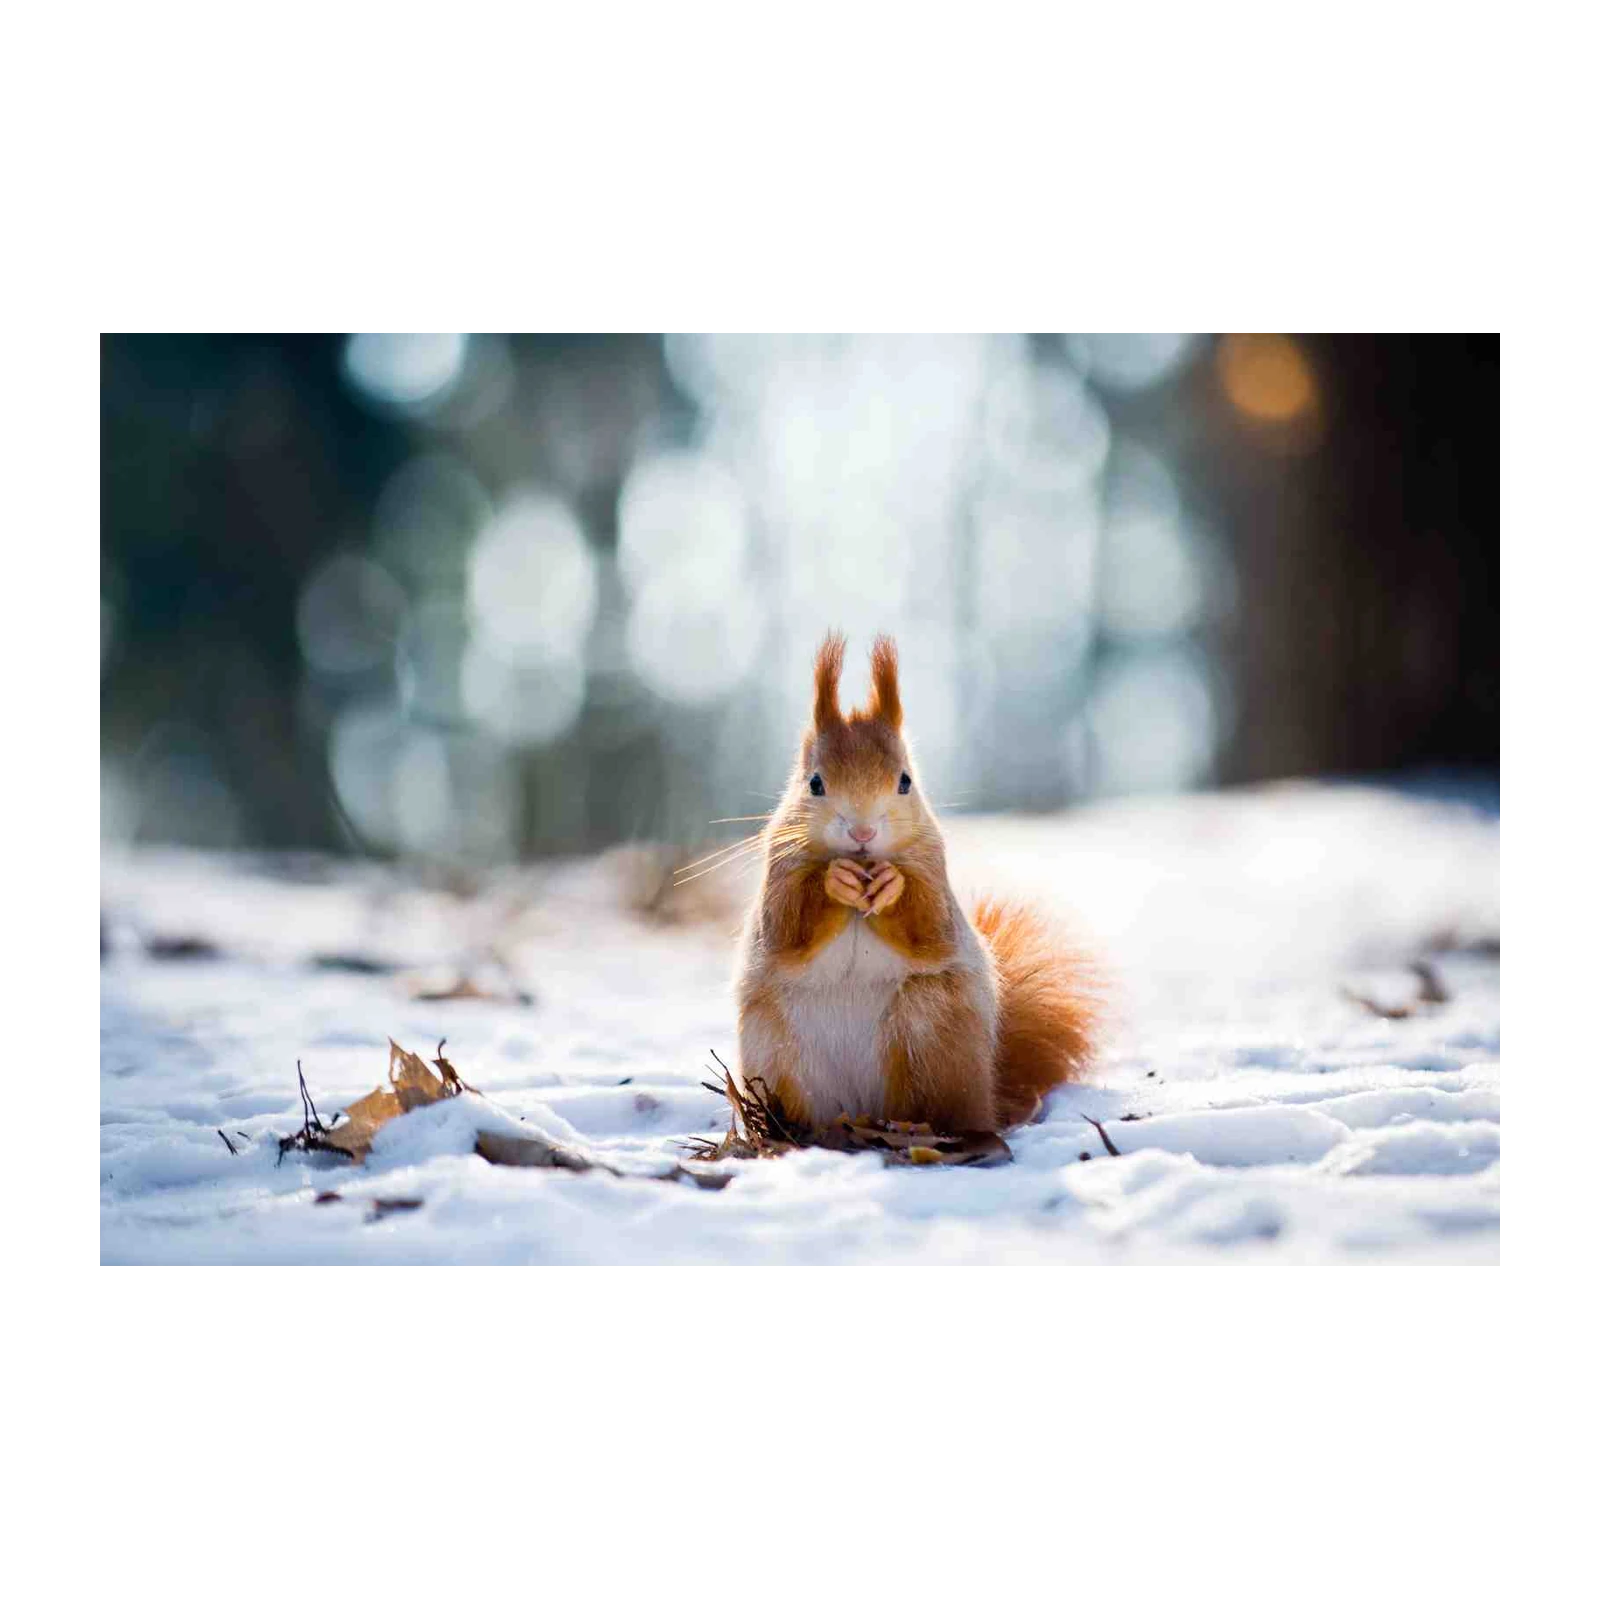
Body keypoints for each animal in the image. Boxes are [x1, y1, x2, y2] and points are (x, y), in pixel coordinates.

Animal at [734, 632, 1099, 1134]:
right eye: (815, 784)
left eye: (905, 781)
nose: (862, 833)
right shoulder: (779, 871)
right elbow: (787, 927)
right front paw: (834, 880)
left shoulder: (933, 871)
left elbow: (930, 925)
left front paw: (892, 886)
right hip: (775, 1049)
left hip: (930, 1030)